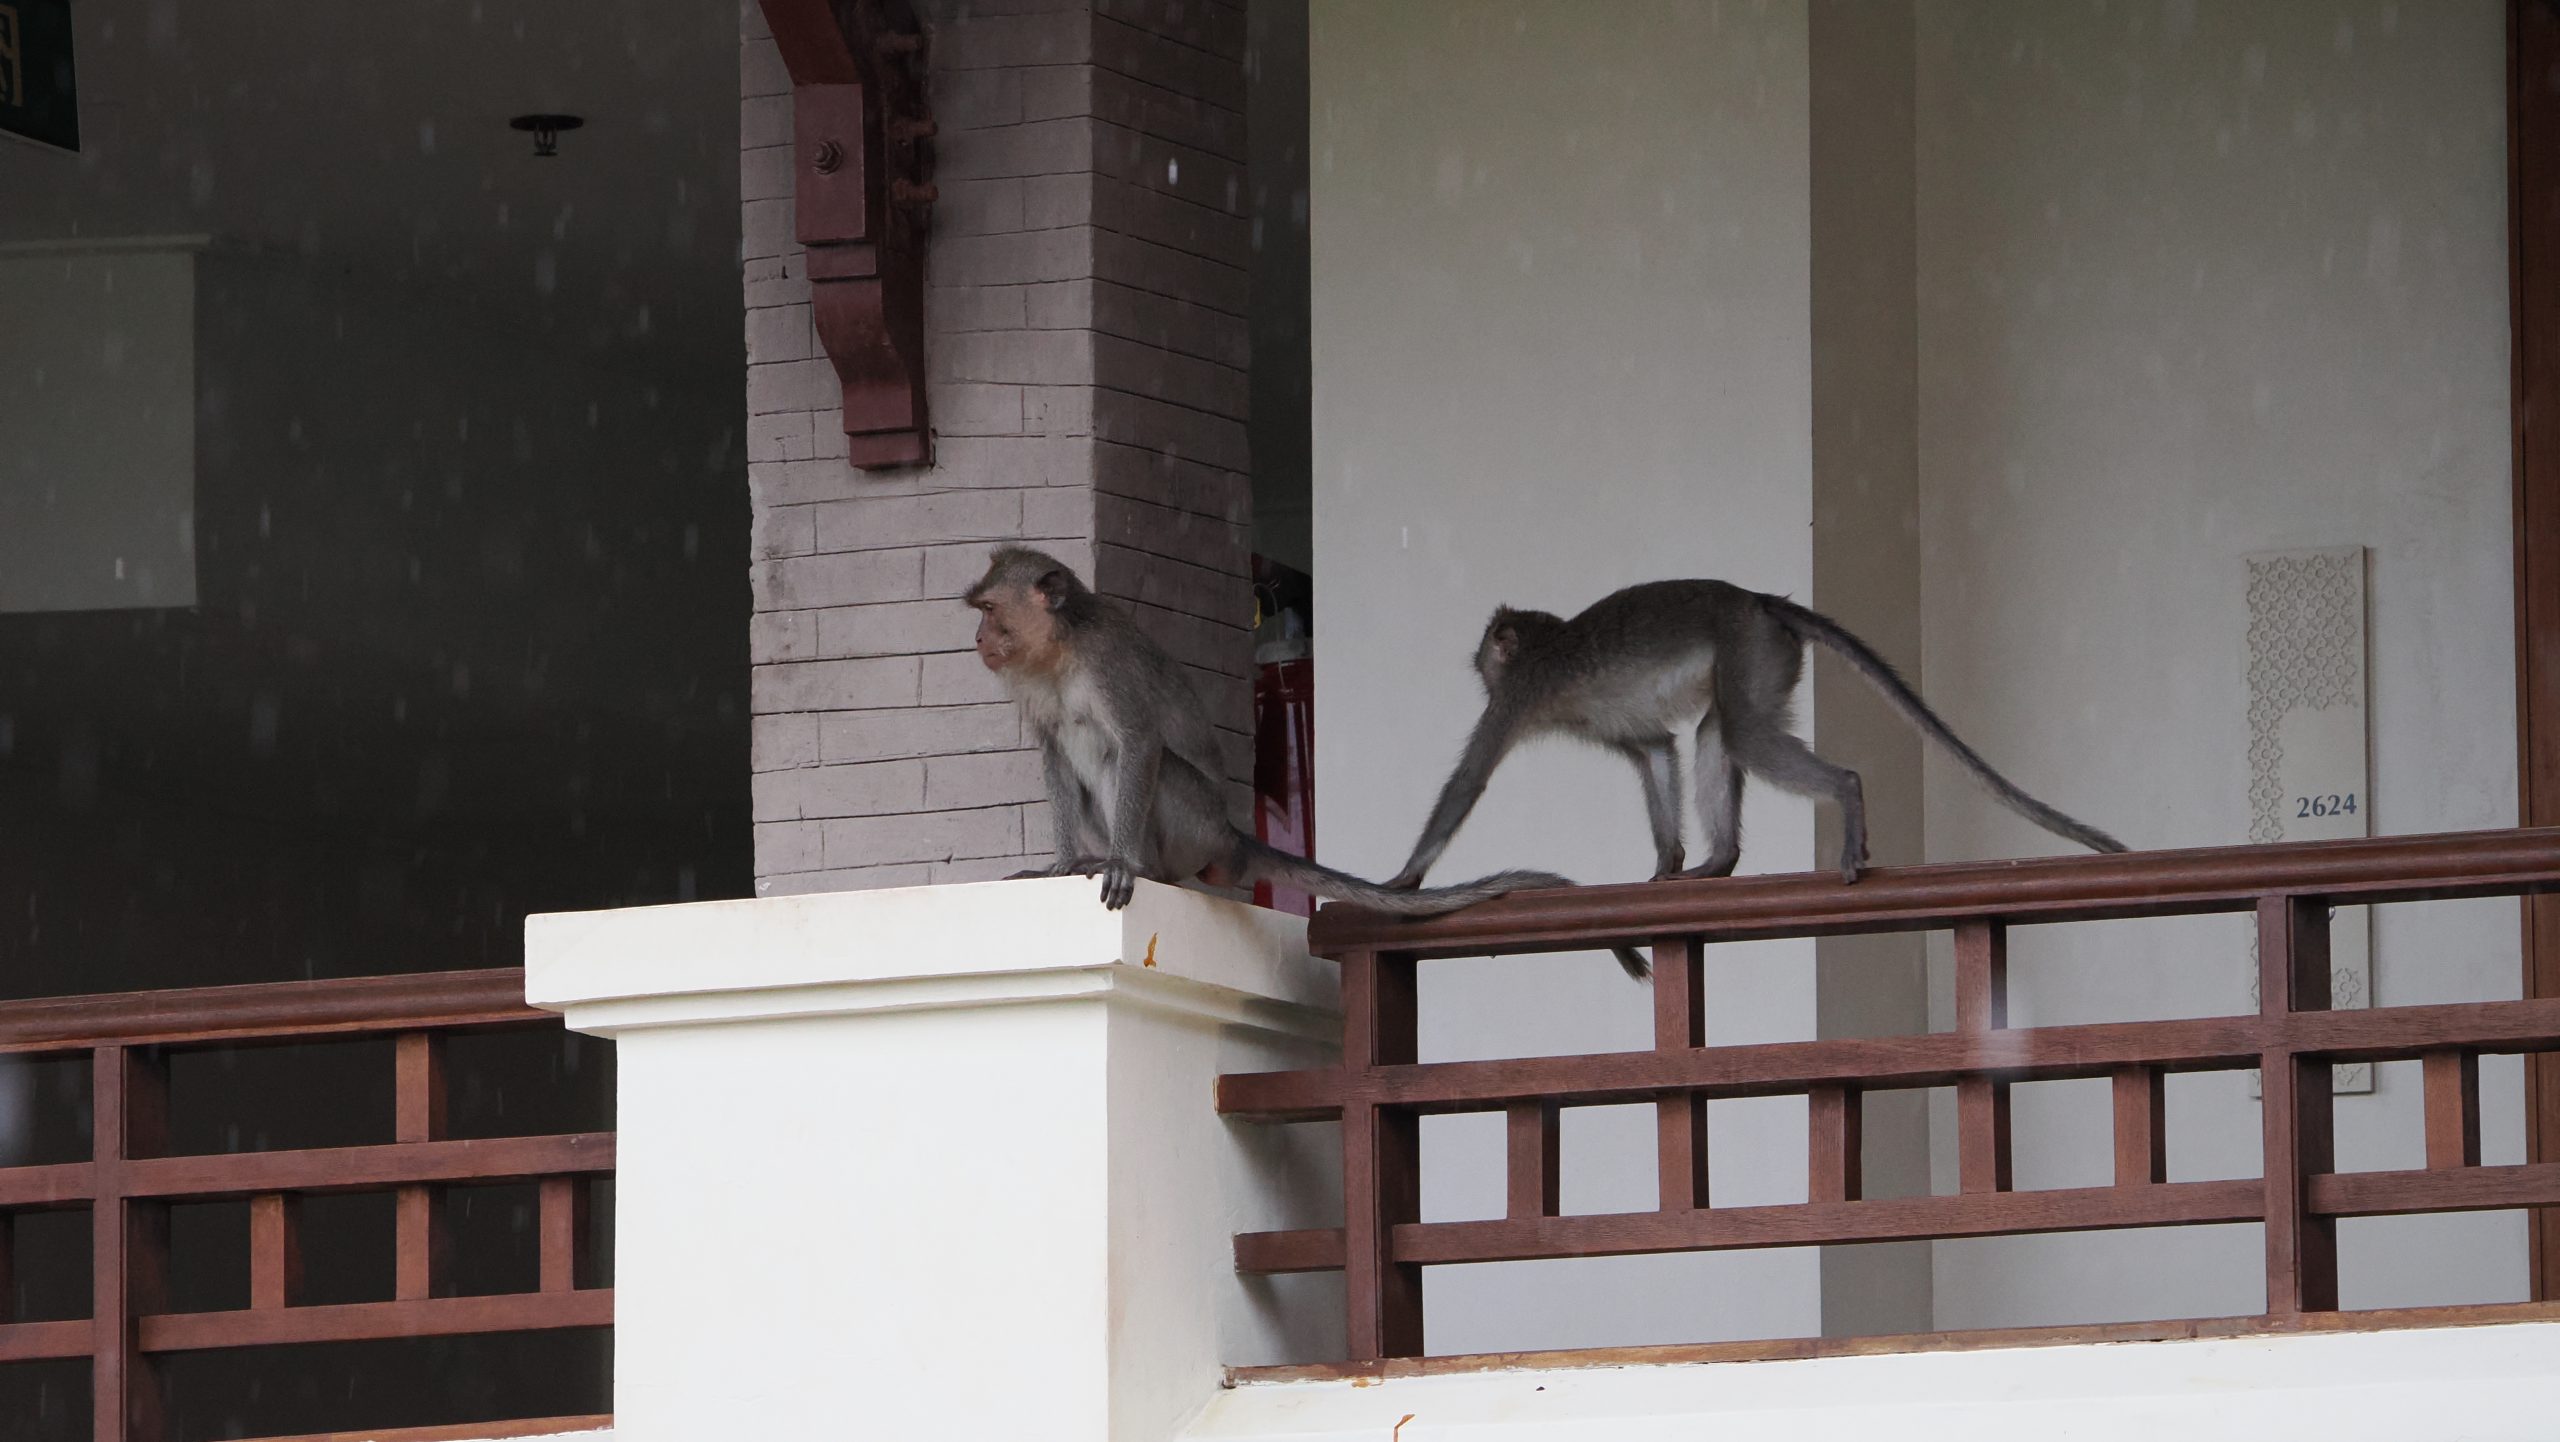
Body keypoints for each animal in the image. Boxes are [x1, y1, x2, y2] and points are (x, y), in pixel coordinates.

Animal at [965, 545, 1590, 928]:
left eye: (991, 609)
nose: (977, 638)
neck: (1060, 650)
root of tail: (1228, 837)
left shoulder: (1106, 662)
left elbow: (1139, 741)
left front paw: (1120, 862)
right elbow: (1054, 755)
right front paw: (1063, 864)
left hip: (1194, 827)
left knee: (1144, 764)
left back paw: (1145, 867)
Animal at [1387, 579, 2126, 904]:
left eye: (1487, 653)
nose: (1475, 662)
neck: (1546, 644)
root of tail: (1760, 600)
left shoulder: (1515, 697)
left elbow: (1469, 780)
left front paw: (1402, 879)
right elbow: (1656, 750)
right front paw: (1666, 862)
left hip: (1751, 647)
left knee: (1741, 730)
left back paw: (1845, 797)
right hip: (1769, 657)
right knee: (1721, 730)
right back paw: (1719, 862)